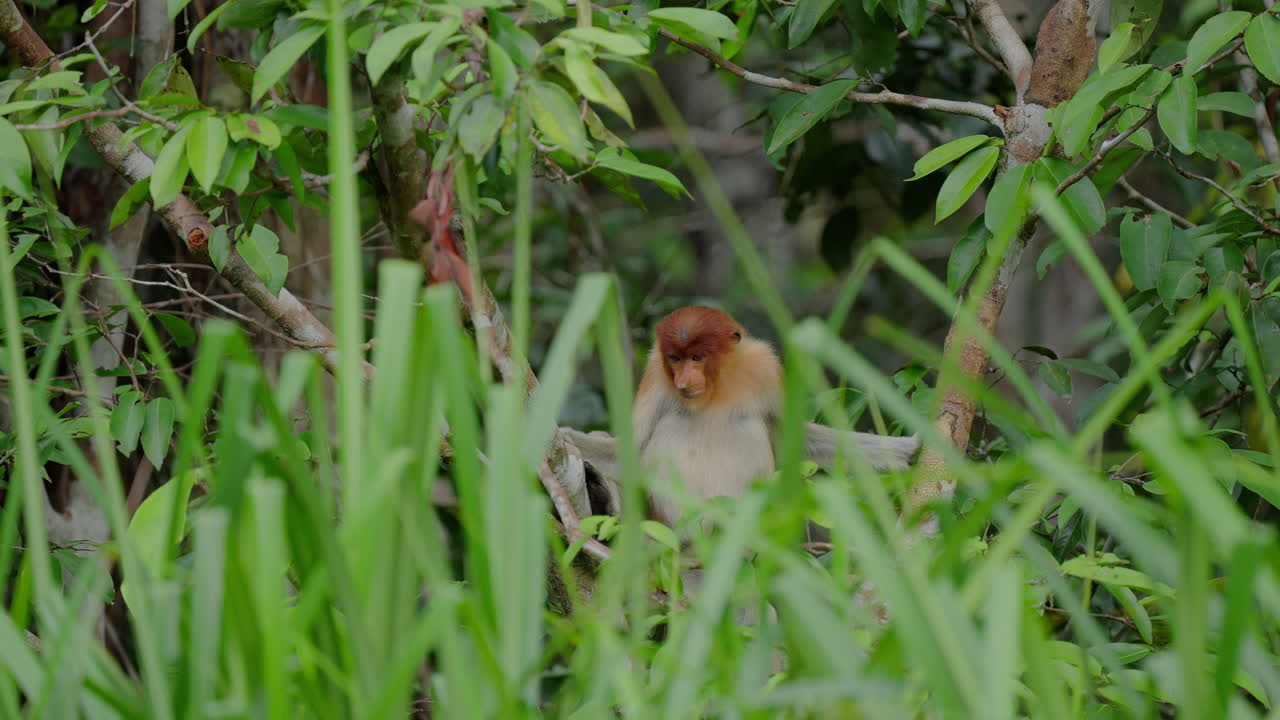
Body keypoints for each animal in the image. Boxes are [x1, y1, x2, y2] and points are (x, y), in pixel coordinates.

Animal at [562, 305, 919, 529]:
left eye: (697, 357)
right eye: (675, 359)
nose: (684, 382)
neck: (718, 385)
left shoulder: (766, 367)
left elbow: (797, 439)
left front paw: (907, 451)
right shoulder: (656, 374)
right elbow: (624, 451)